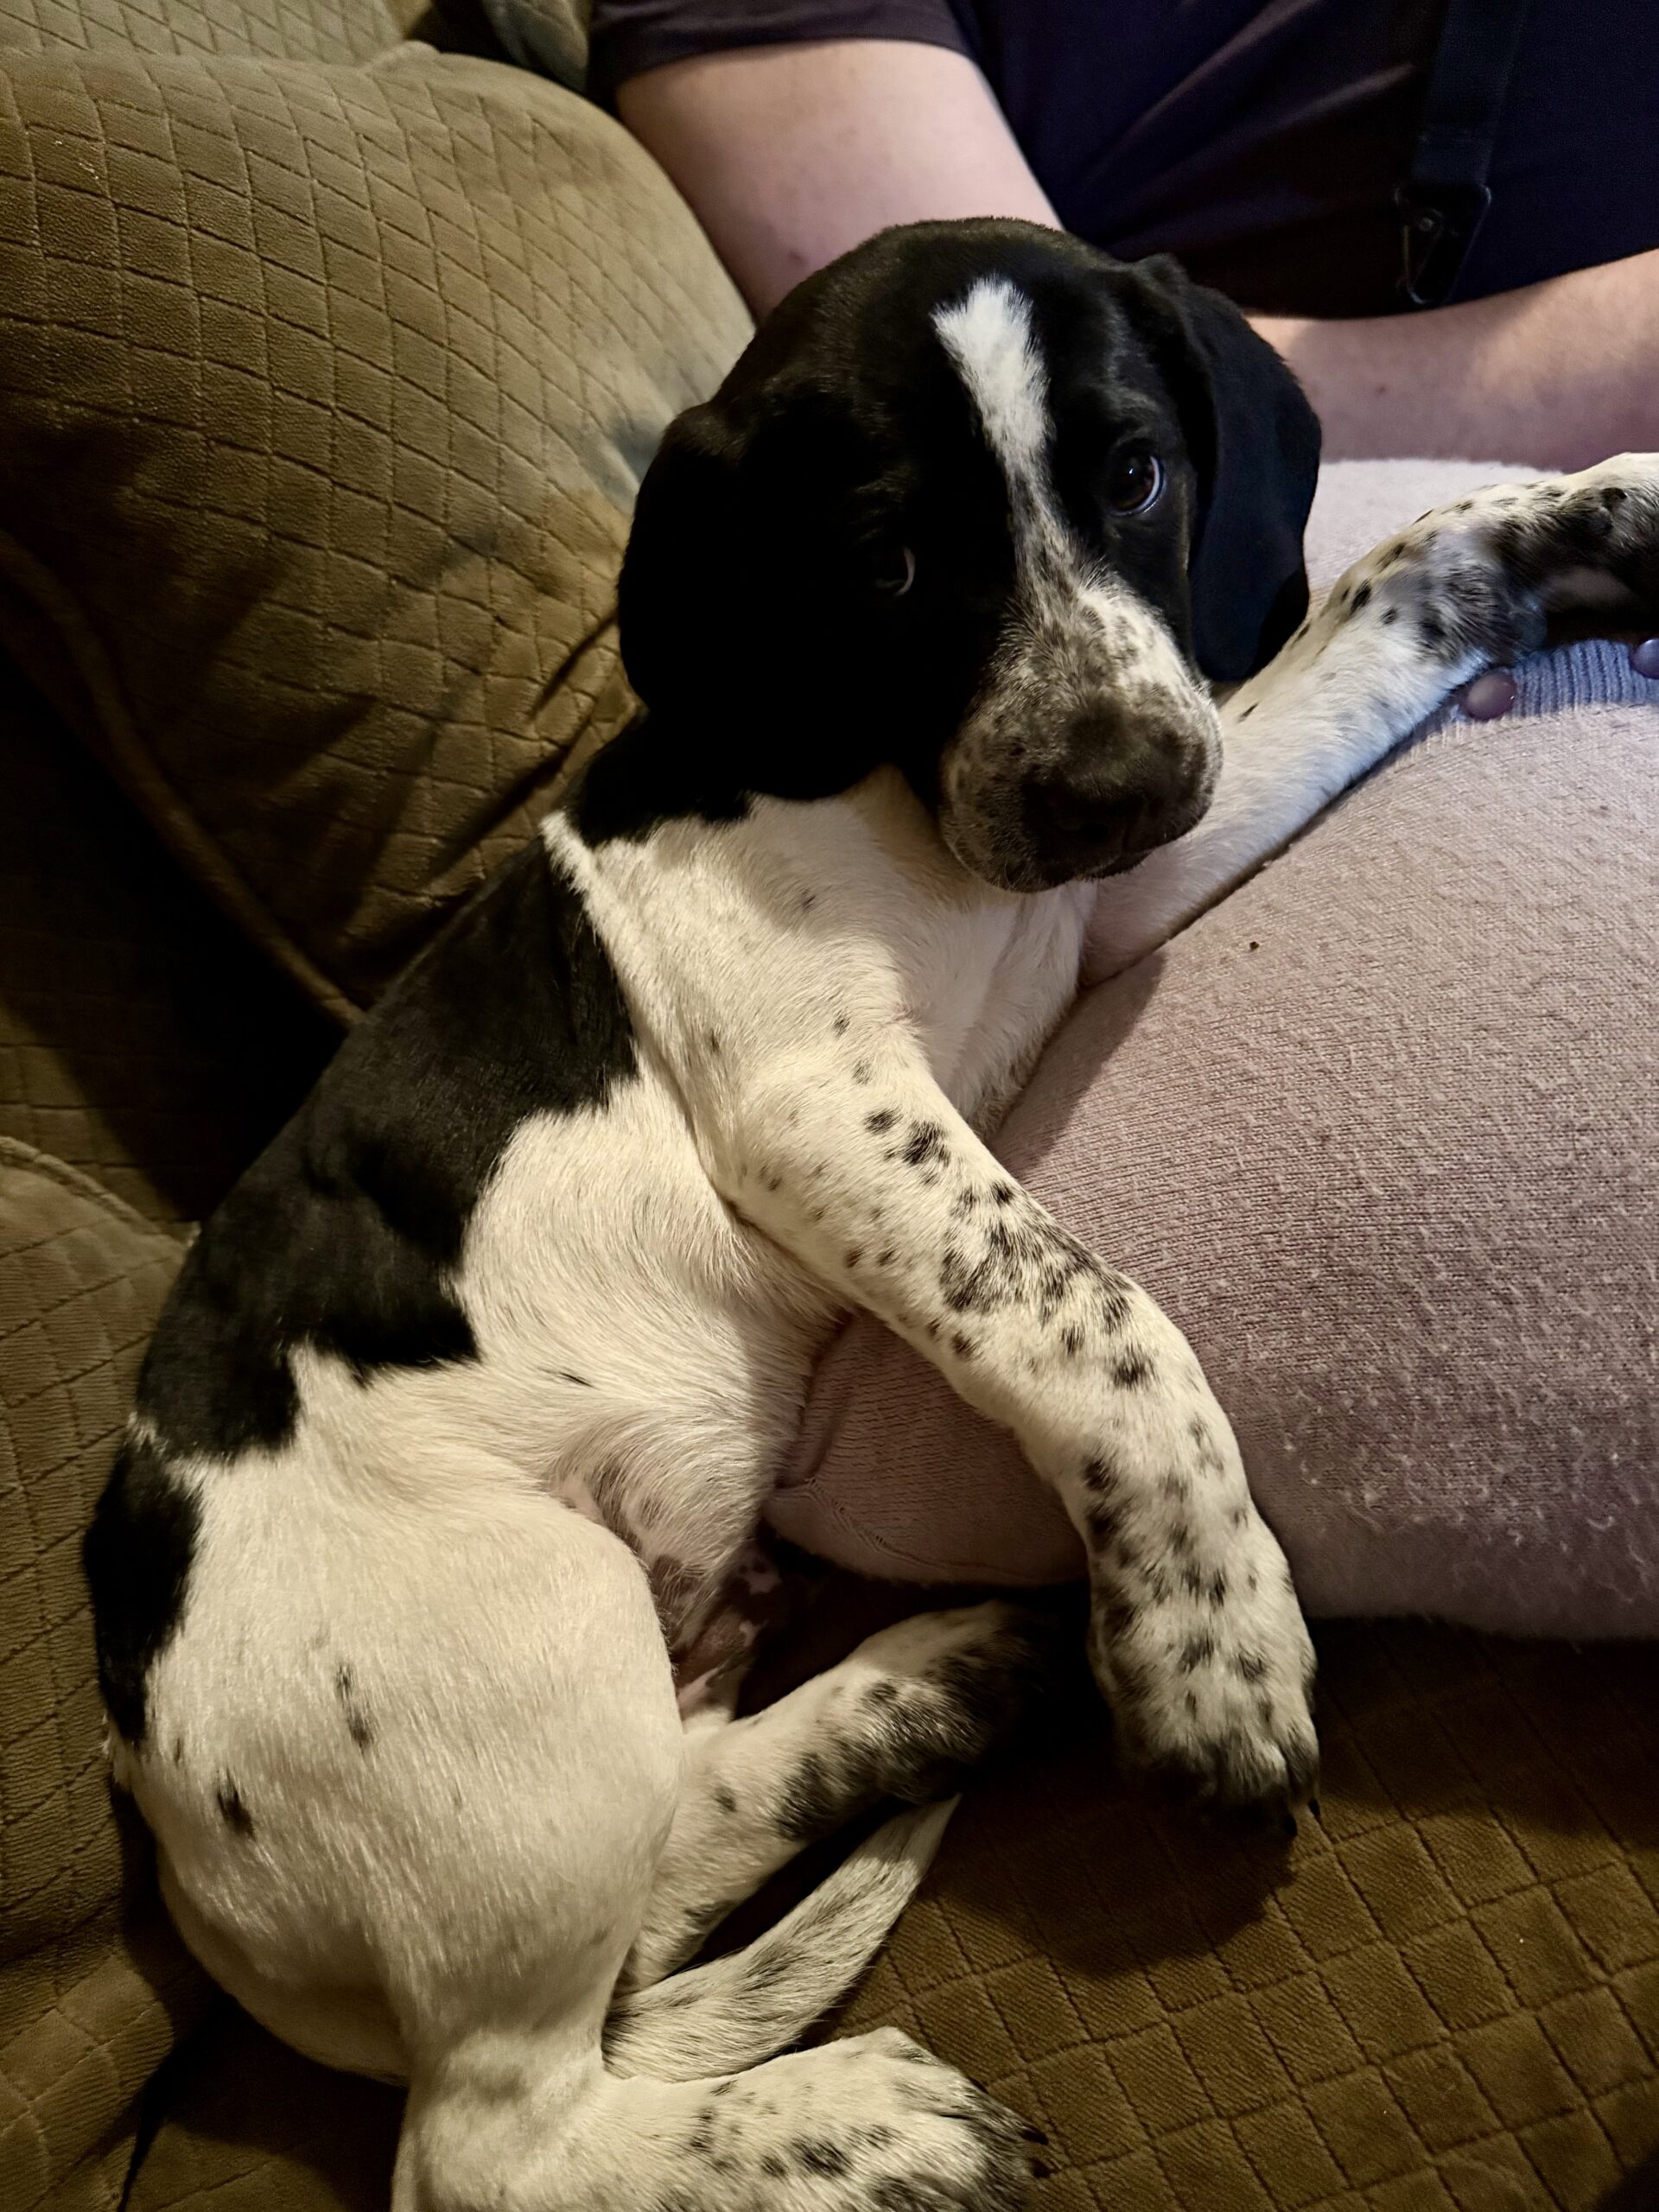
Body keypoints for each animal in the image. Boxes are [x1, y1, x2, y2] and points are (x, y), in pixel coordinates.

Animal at [84, 218, 1659, 2210]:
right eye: (889, 562)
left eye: (1136, 474)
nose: (1105, 780)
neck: (882, 779)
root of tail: (173, 1830)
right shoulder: (820, 1101)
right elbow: (1100, 1317)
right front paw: (1207, 1629)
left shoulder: (1116, 892)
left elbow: (1384, 602)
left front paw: (1578, 520)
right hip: (531, 1645)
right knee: (504, 2143)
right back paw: (846, 2119)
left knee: (667, 1868)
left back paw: (928, 1692)